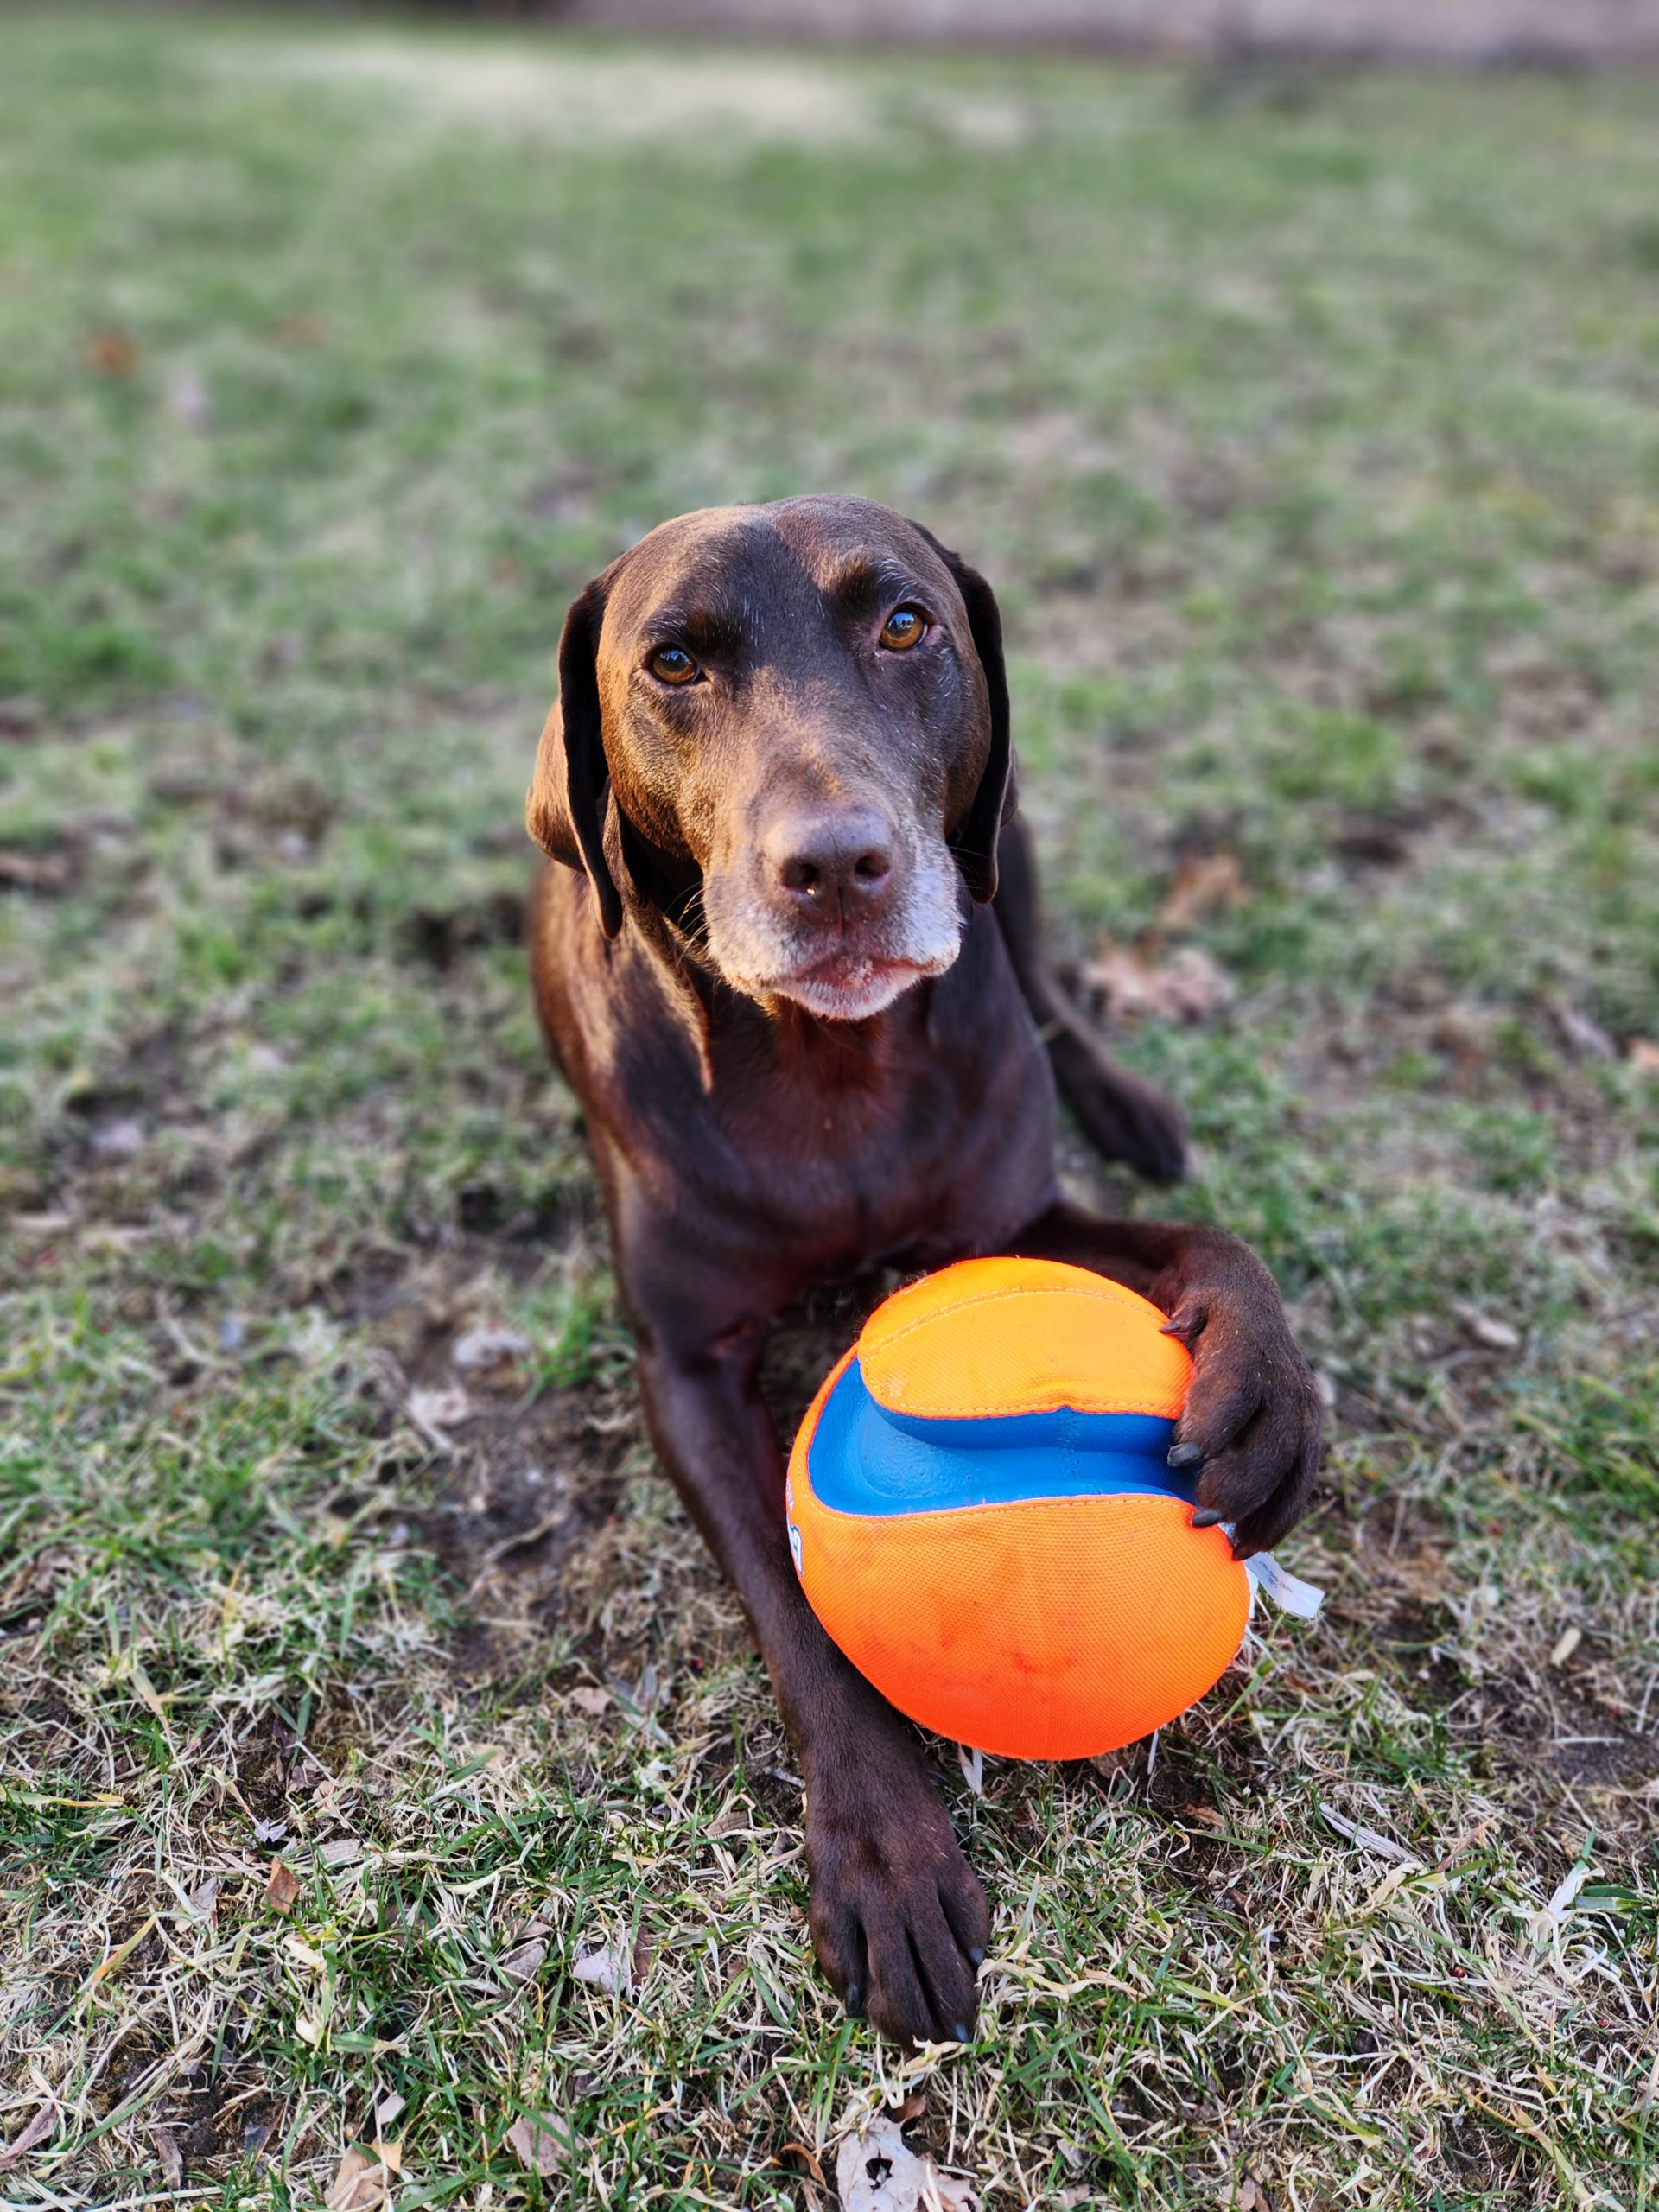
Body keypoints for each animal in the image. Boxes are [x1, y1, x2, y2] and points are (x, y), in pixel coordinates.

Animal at [522, 493, 1327, 2044]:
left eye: (906, 624)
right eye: (673, 663)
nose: (836, 867)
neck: (833, 1079)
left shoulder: (1014, 1220)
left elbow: (1217, 1246)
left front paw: (1269, 1396)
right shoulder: (685, 1372)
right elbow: (792, 1600)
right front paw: (888, 1855)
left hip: (1010, 846)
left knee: (1049, 977)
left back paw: (1129, 1103)